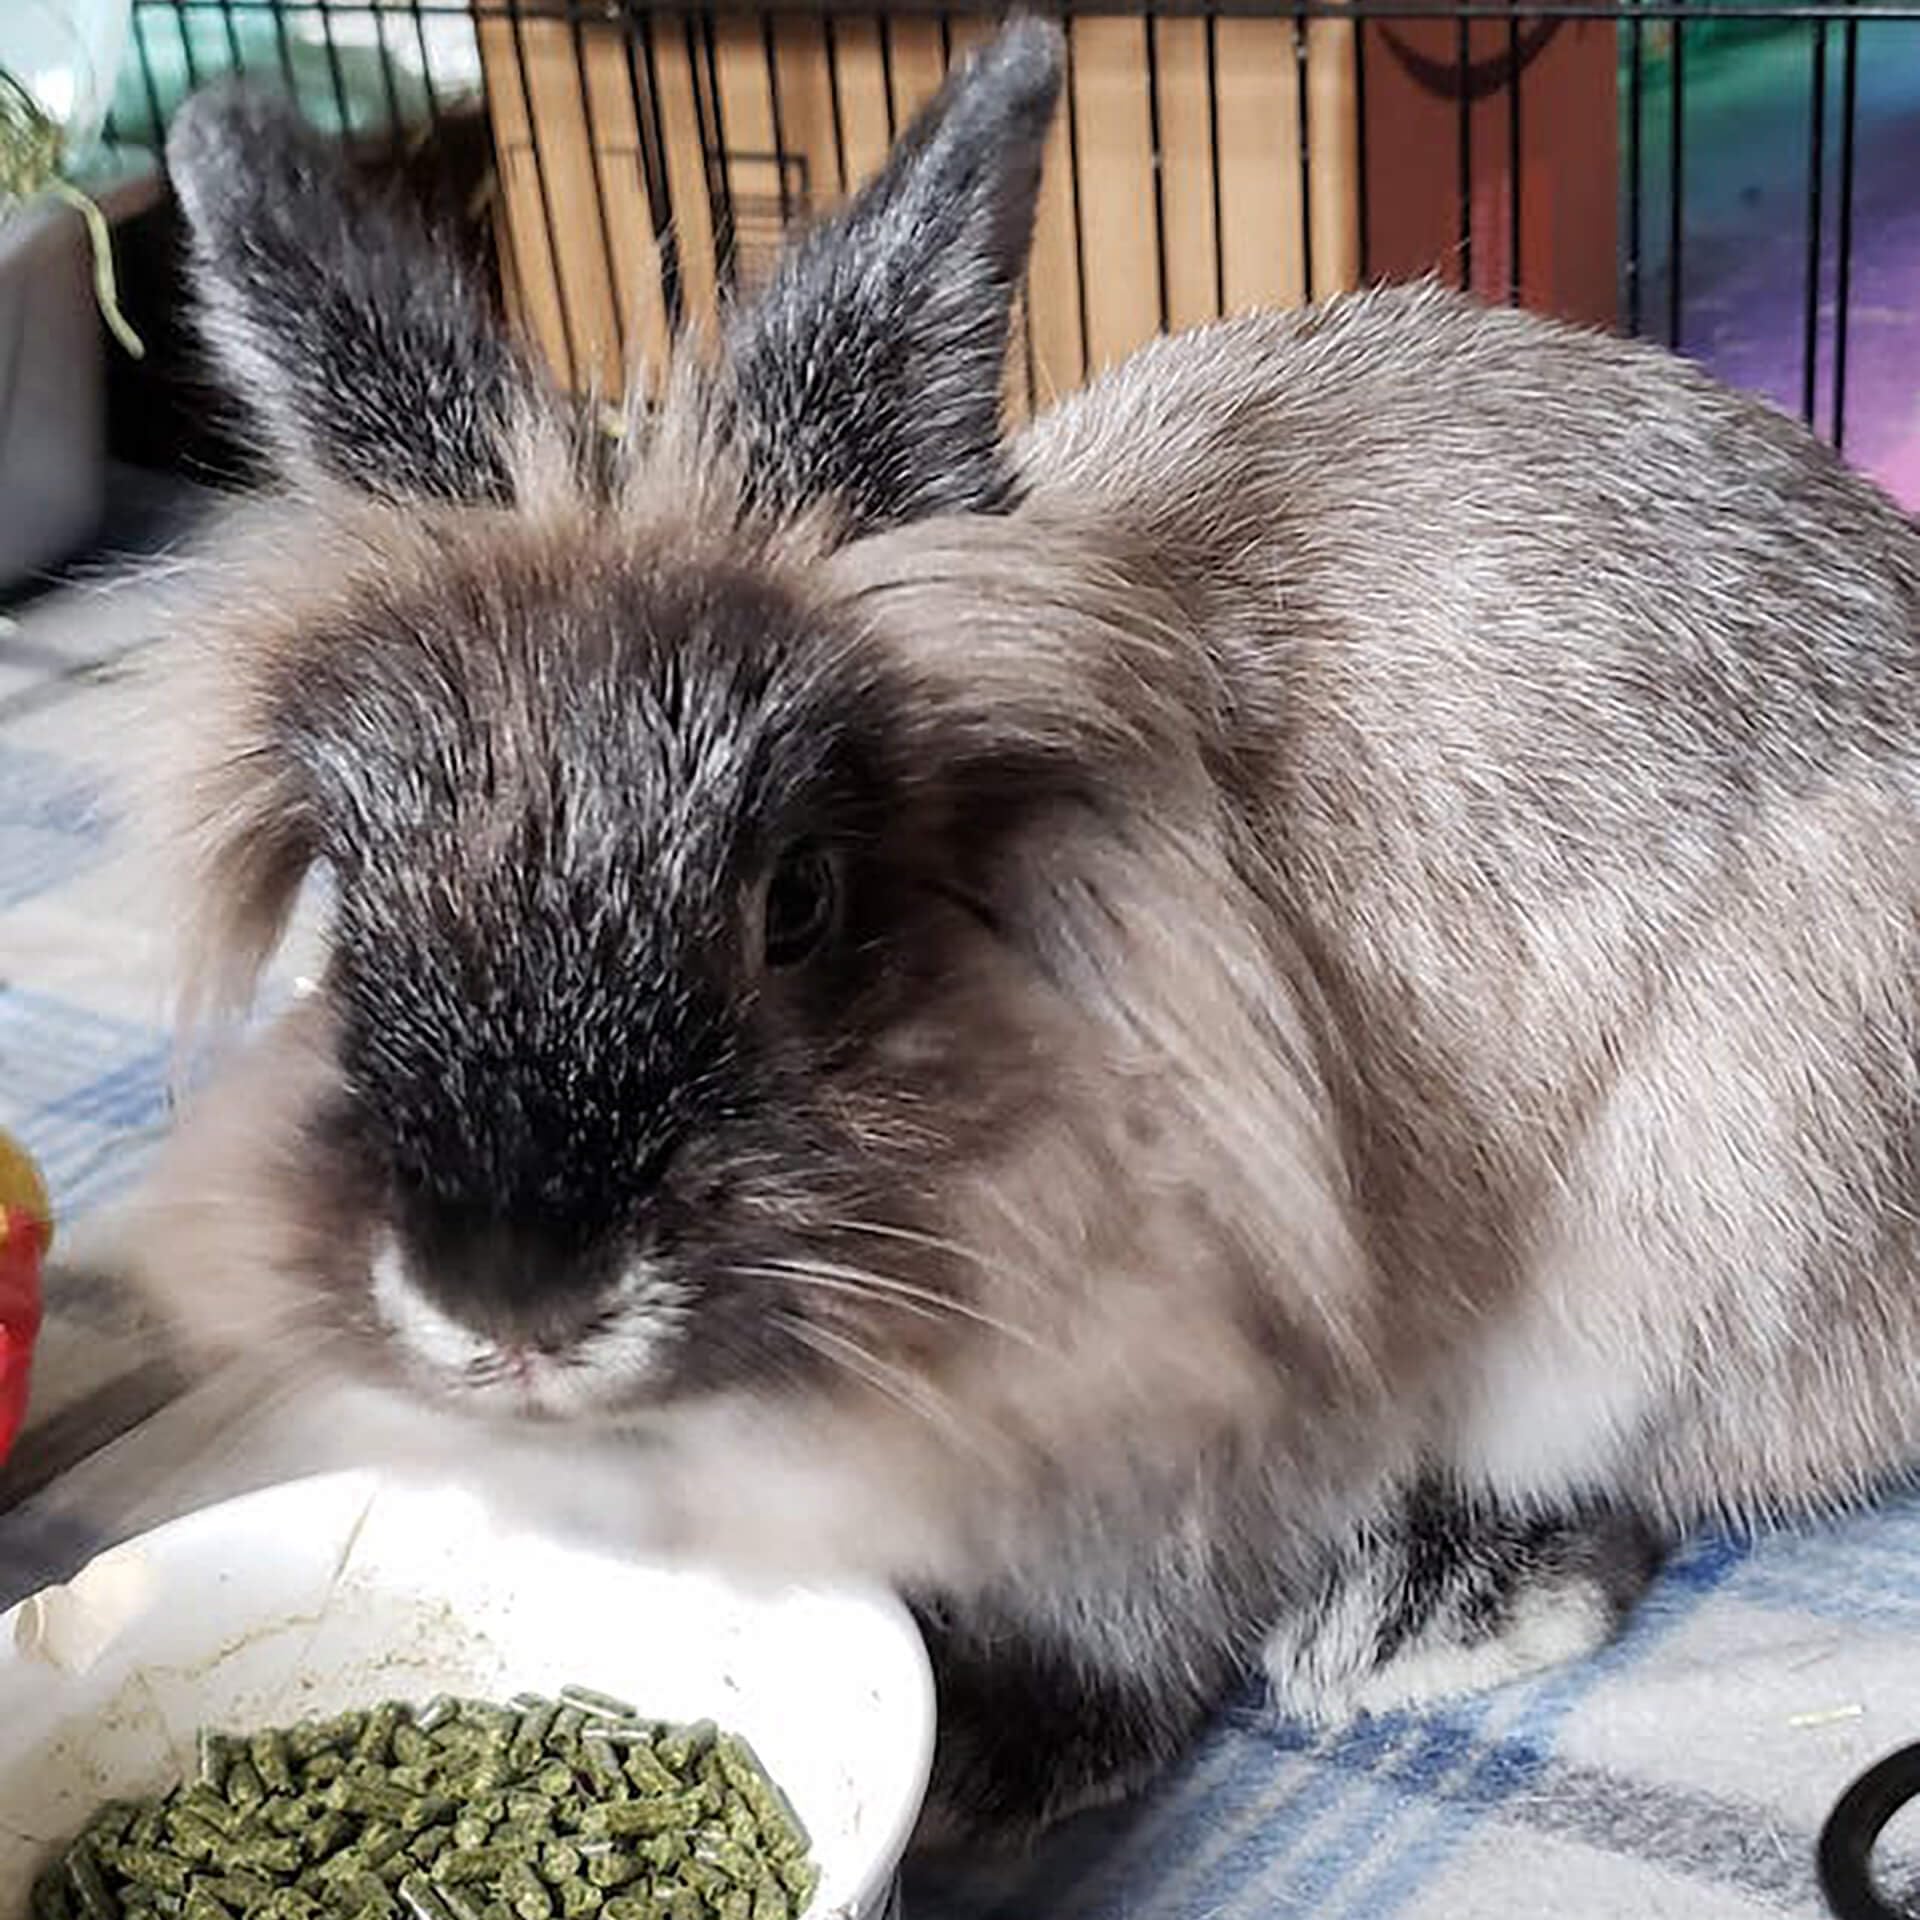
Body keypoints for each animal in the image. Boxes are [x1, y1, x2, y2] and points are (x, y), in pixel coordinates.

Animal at [118, 14, 1920, 1848]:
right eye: (351, 902)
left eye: (799, 898)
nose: (509, 1304)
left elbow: (1133, 1609)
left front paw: (991, 1759)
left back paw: (1426, 1612)